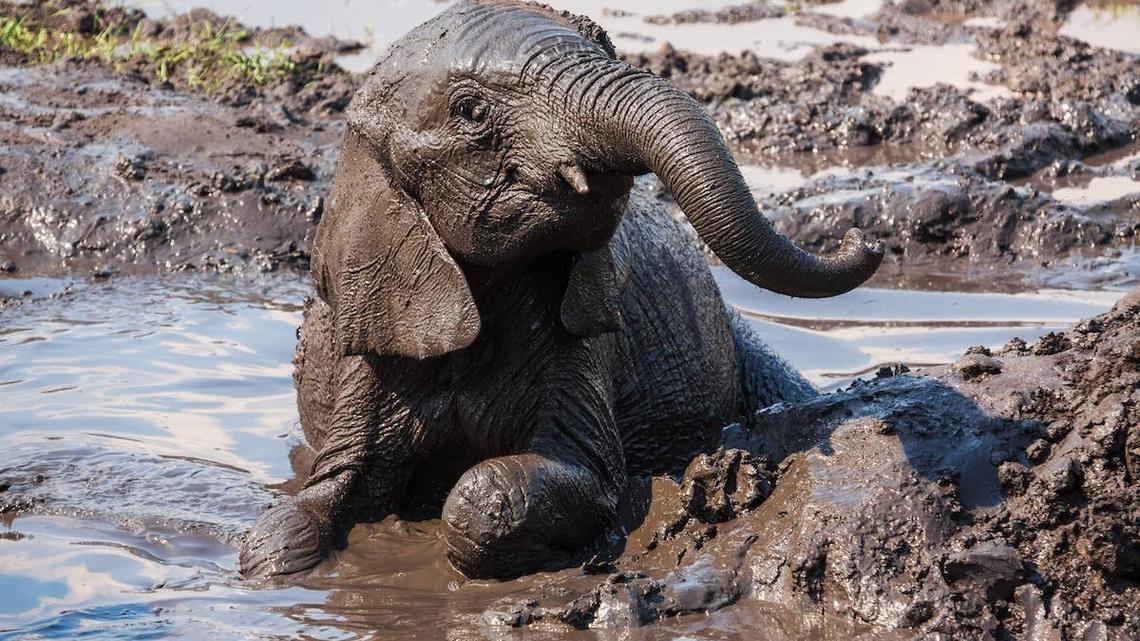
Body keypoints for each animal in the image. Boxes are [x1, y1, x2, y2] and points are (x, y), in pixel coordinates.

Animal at [239, 0, 883, 580]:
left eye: (606, 44)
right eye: (470, 111)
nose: (864, 237)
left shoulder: (579, 332)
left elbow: (563, 478)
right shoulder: (378, 339)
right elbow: (315, 499)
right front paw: (274, 560)